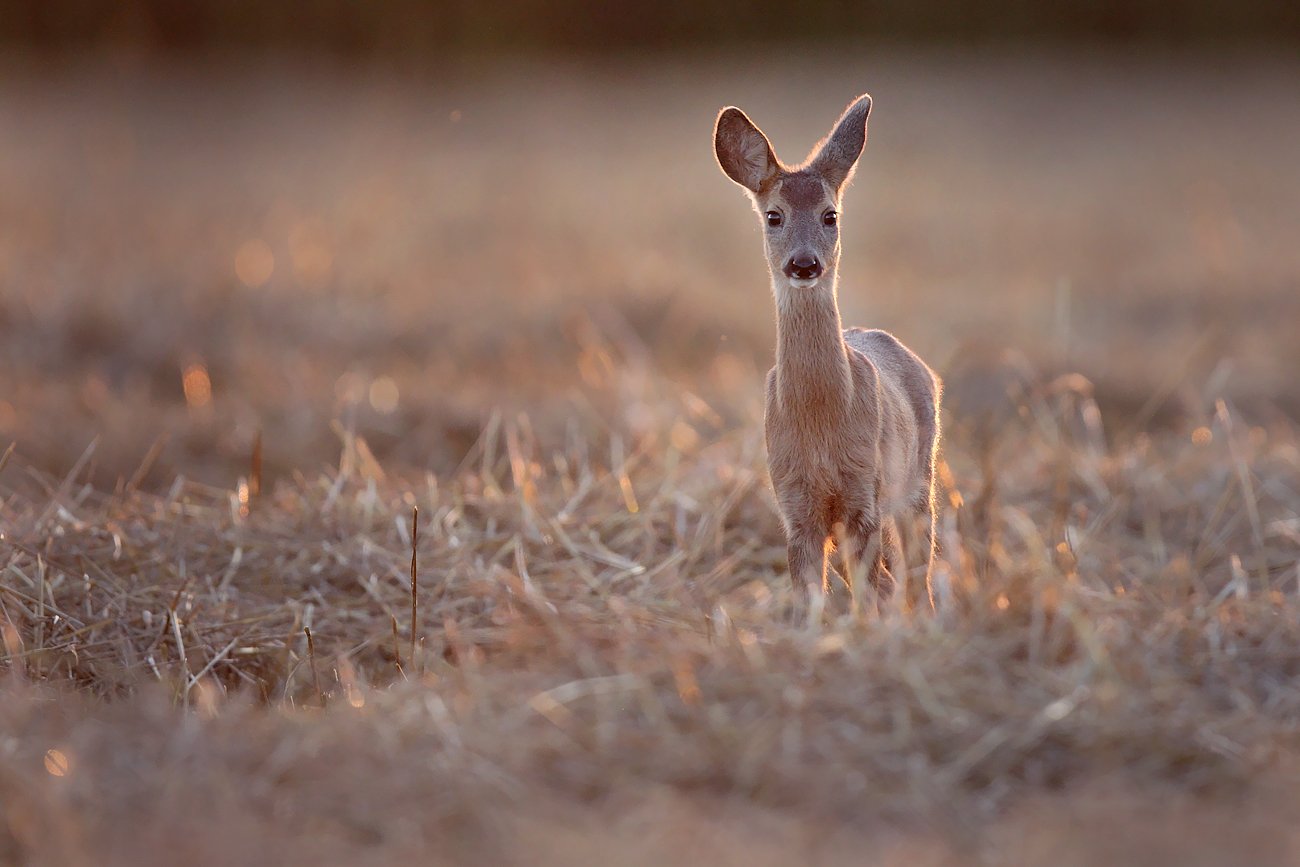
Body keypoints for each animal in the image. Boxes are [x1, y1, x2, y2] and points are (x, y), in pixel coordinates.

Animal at [712, 93, 946, 616]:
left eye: (830, 215)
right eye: (774, 215)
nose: (804, 264)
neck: (820, 421)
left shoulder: (865, 492)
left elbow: (868, 588)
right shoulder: (794, 502)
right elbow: (810, 597)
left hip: (917, 478)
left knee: (915, 571)